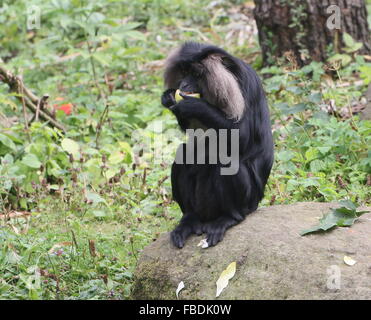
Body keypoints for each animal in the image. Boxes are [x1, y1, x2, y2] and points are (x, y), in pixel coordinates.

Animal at [161, 42, 274, 248]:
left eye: (196, 74)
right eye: (184, 72)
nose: (183, 85)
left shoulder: (242, 85)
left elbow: (242, 135)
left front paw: (194, 106)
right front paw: (168, 98)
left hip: (249, 202)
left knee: (225, 162)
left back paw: (228, 218)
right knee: (185, 155)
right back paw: (190, 220)